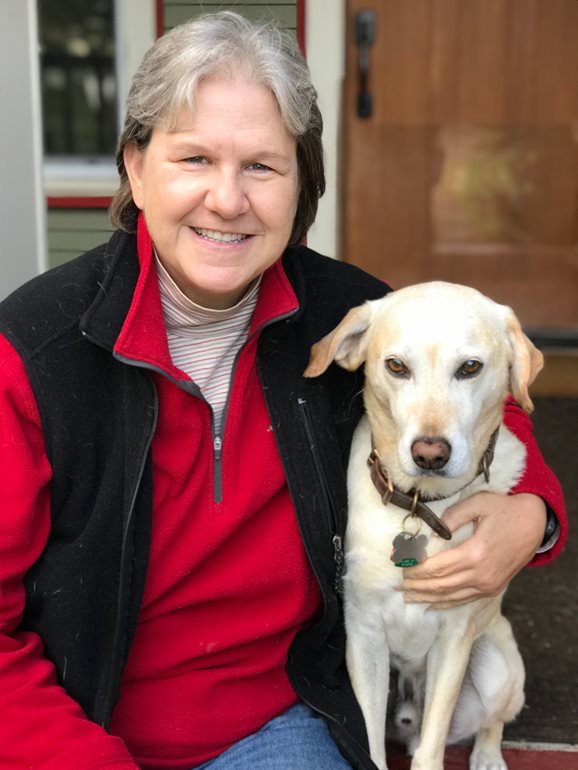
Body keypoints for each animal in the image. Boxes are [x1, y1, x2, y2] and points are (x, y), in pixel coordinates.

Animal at [304, 282, 544, 768]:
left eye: (470, 367)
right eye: (396, 366)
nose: (429, 454)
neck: (419, 505)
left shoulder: (454, 638)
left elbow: (431, 748)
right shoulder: (363, 635)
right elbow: (370, 743)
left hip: (498, 664)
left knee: (490, 723)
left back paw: (488, 756)